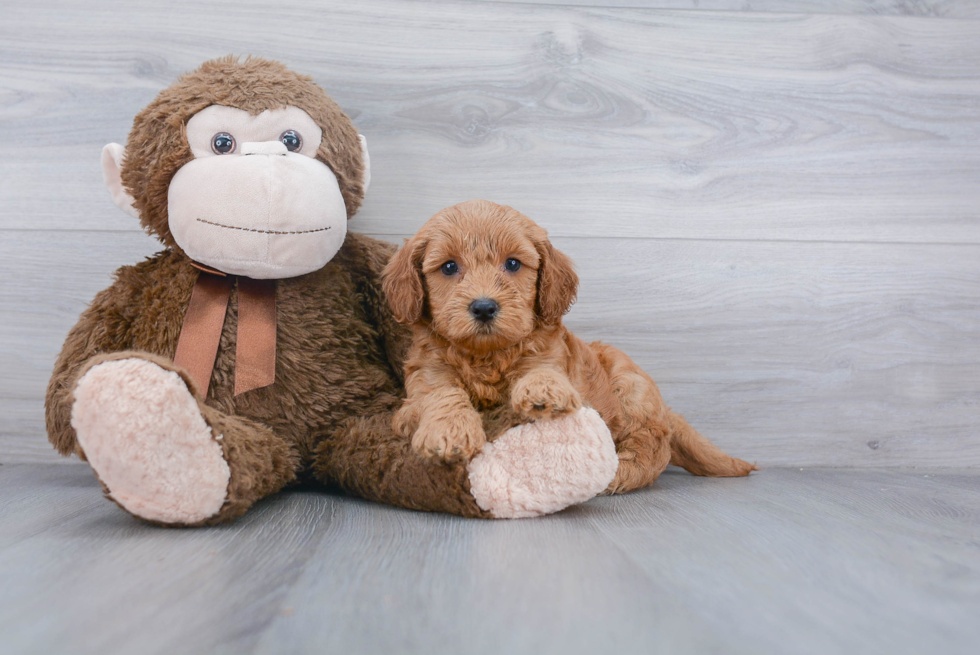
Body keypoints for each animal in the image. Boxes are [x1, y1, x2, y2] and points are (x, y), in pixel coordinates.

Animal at [378, 202, 756, 494]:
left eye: (512, 263)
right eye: (449, 267)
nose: (484, 307)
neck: (488, 356)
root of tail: (665, 410)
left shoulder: (552, 355)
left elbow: (542, 368)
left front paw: (542, 390)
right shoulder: (419, 386)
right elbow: (442, 393)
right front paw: (449, 431)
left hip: (631, 389)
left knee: (651, 448)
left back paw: (617, 475)